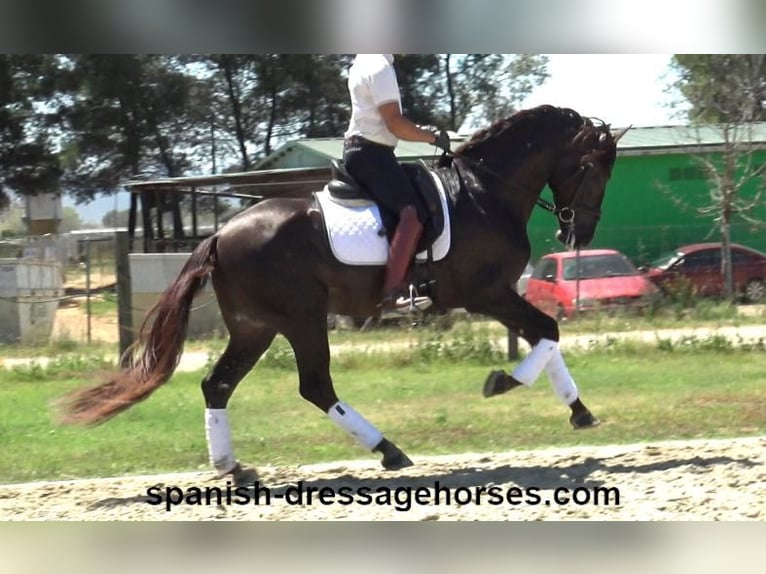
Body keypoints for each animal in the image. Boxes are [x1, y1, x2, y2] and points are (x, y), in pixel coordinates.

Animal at [58, 106, 624, 484]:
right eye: (595, 168)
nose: (580, 233)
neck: (485, 191)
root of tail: (219, 234)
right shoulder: (484, 291)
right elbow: (547, 332)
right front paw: (503, 382)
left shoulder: (496, 294)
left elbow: (545, 338)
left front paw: (579, 410)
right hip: (302, 319)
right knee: (315, 386)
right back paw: (389, 450)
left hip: (255, 327)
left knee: (218, 386)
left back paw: (233, 467)